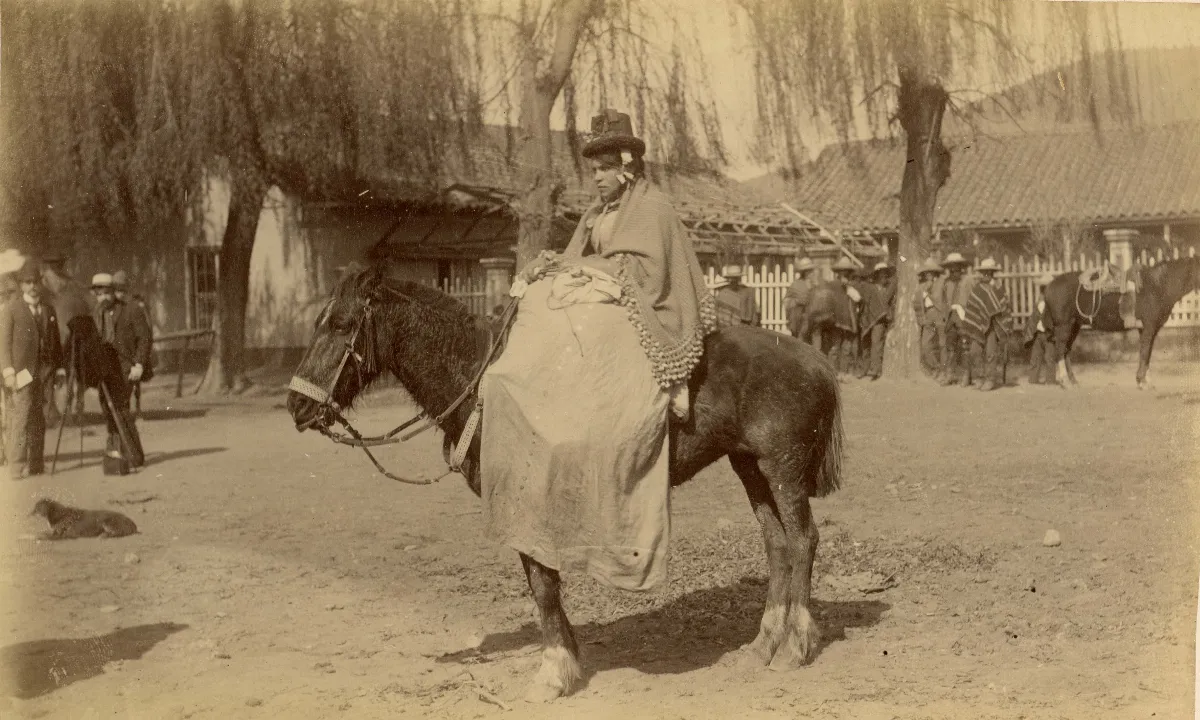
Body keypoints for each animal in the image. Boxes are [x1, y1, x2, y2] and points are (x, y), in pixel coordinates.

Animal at [286, 263, 844, 702]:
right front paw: (568, 658)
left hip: (782, 467)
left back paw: (795, 645)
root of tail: (816, 359)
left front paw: (553, 671)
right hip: (749, 466)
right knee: (777, 545)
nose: (295, 404)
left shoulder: (527, 500)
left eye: (340, 324)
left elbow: (542, 585)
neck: (484, 383)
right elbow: (543, 583)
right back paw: (763, 643)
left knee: (802, 540)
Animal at [1042, 256, 1200, 389]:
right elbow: (1144, 353)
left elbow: (1148, 353)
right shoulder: (1148, 327)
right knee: (1059, 351)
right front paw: (1142, 381)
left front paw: (1146, 381)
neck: (1158, 285)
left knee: (1066, 351)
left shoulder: (1149, 329)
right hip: (1064, 326)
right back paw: (1064, 381)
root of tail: (1049, 286)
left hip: (1074, 325)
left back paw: (1073, 381)